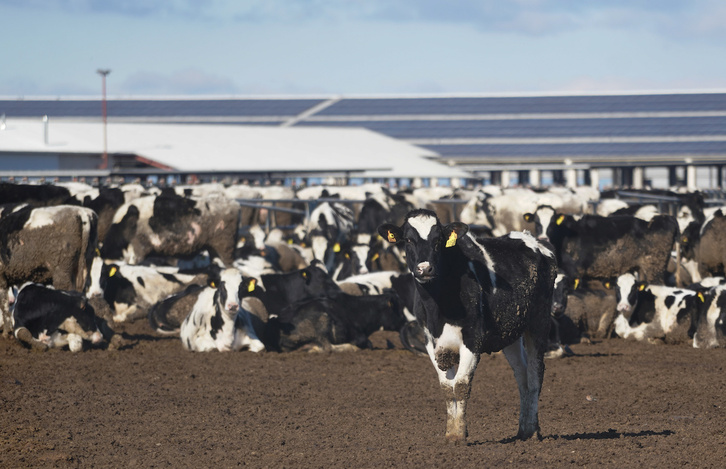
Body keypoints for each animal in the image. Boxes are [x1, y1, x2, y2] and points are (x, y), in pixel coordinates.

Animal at [378, 209, 560, 442]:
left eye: (438, 240)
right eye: (408, 240)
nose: (424, 269)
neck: (439, 305)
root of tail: (534, 241)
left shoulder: (473, 339)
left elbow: (461, 385)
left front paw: (459, 434)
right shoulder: (431, 342)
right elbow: (447, 388)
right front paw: (450, 433)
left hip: (538, 322)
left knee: (535, 374)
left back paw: (533, 430)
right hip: (510, 332)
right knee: (522, 376)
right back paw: (524, 430)